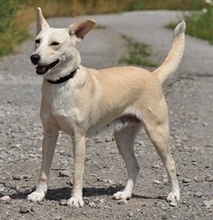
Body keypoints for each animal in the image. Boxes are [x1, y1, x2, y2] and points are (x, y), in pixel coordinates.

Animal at [27, 7, 185, 208]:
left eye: (55, 44)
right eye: (37, 41)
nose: (34, 57)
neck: (62, 83)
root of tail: (153, 75)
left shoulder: (79, 138)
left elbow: (78, 173)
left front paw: (76, 198)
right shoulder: (49, 134)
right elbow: (43, 170)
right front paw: (39, 194)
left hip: (157, 133)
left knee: (171, 164)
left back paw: (174, 194)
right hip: (123, 138)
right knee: (135, 166)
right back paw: (126, 193)